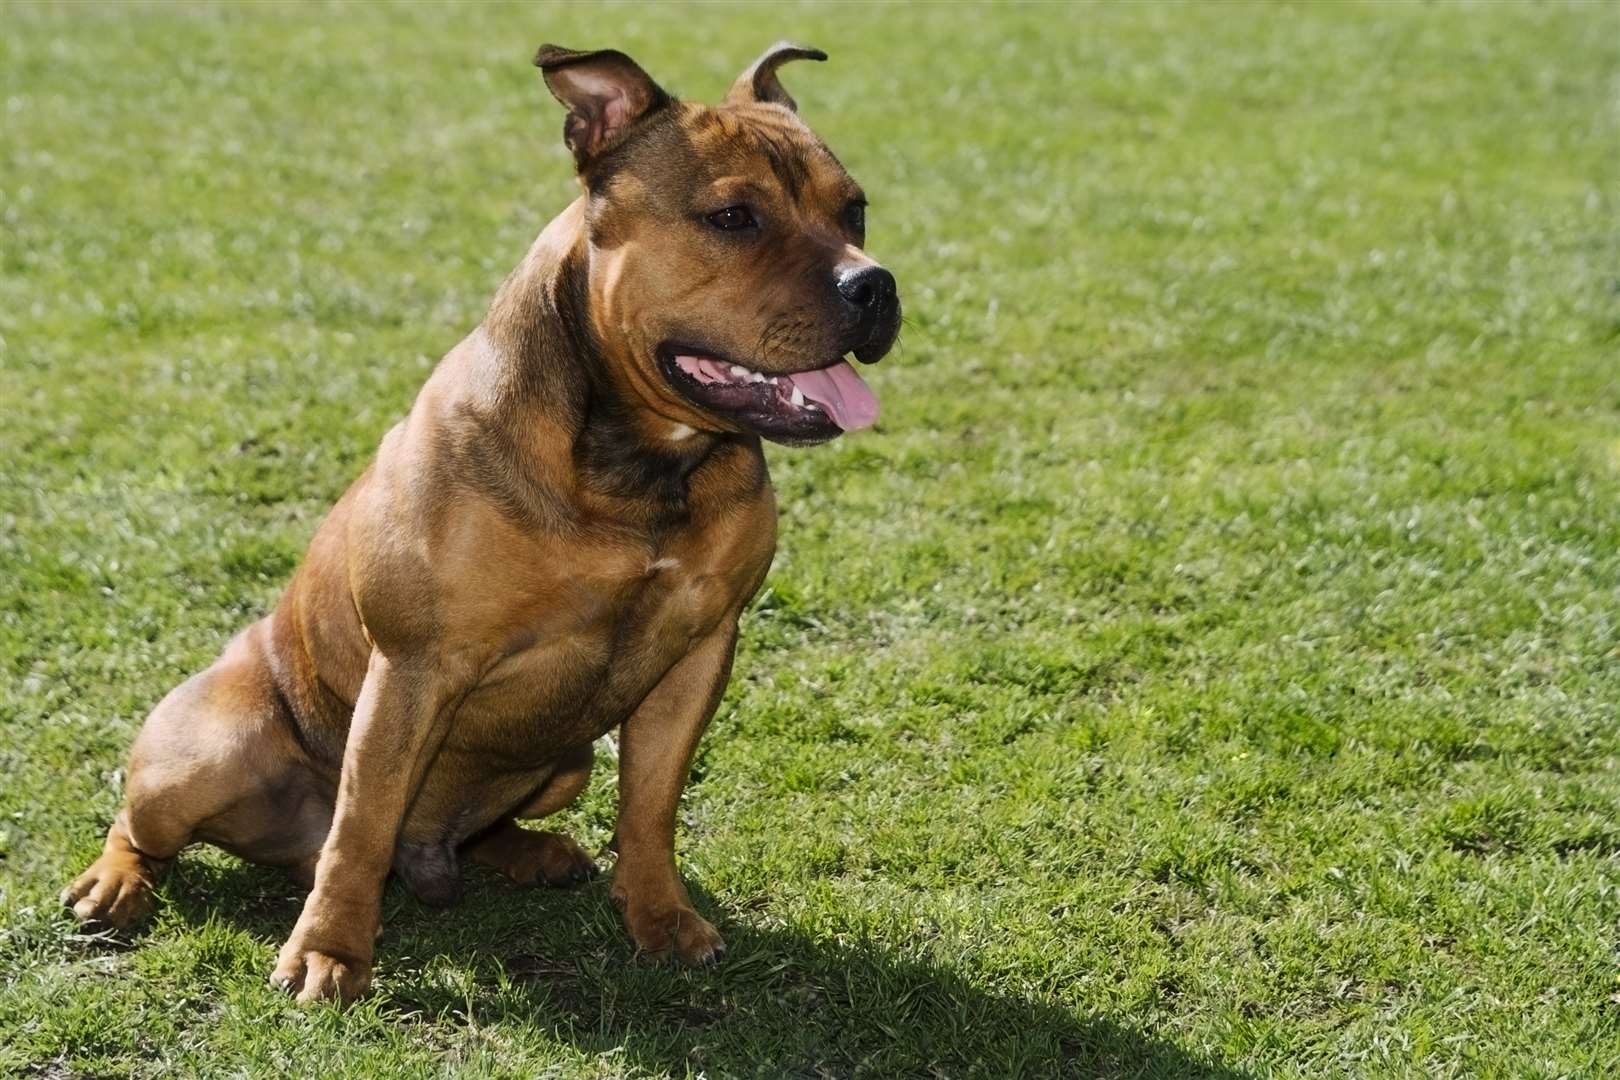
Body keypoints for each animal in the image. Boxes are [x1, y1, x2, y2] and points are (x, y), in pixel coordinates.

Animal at [59, 42, 900, 1003]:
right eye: (733, 217)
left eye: (854, 209)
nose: (875, 284)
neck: (635, 464)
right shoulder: (414, 669)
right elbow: (360, 825)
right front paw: (328, 952)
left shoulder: (698, 654)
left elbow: (651, 806)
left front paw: (658, 917)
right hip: (203, 754)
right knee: (154, 824)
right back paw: (115, 881)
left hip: (562, 762)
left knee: (475, 826)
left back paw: (530, 853)